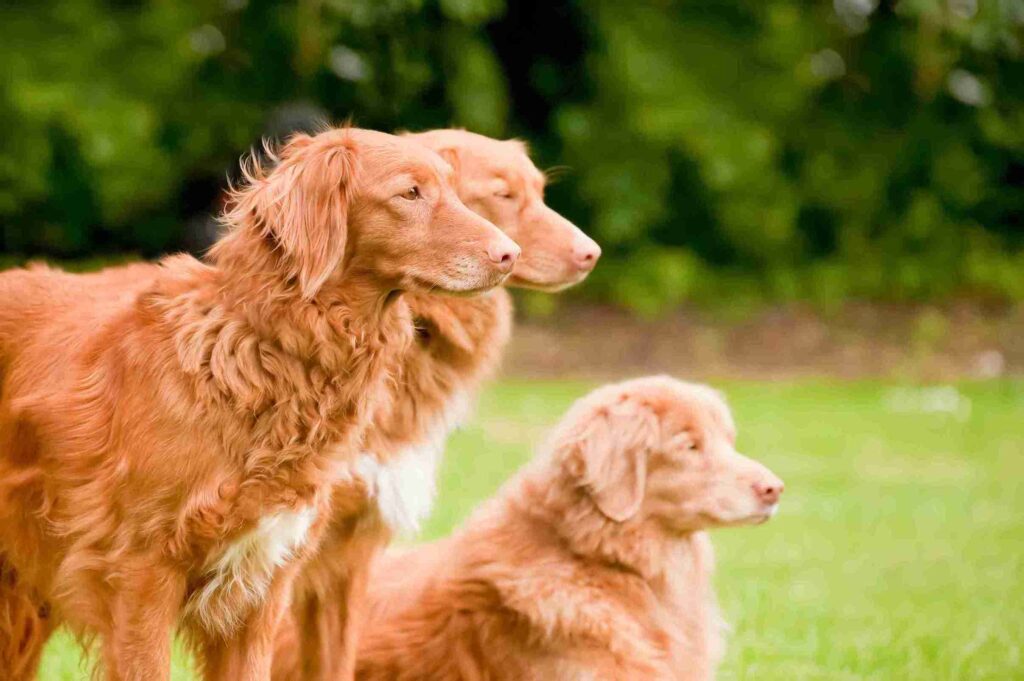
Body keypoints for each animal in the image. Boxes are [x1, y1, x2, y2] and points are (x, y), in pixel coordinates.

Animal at [0, 127, 516, 679]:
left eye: (454, 191)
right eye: (409, 193)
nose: (510, 253)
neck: (269, 353)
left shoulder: (260, 590)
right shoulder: (140, 577)